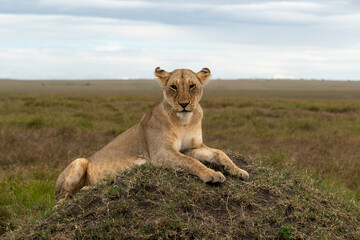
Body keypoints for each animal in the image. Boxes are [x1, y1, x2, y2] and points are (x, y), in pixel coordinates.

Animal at [54, 67, 249, 202]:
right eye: (173, 87)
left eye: (192, 86)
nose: (184, 104)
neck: (184, 121)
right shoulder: (161, 152)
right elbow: (190, 162)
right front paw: (212, 174)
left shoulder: (192, 147)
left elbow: (219, 153)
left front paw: (239, 171)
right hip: (79, 162)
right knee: (62, 200)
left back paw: (87, 189)